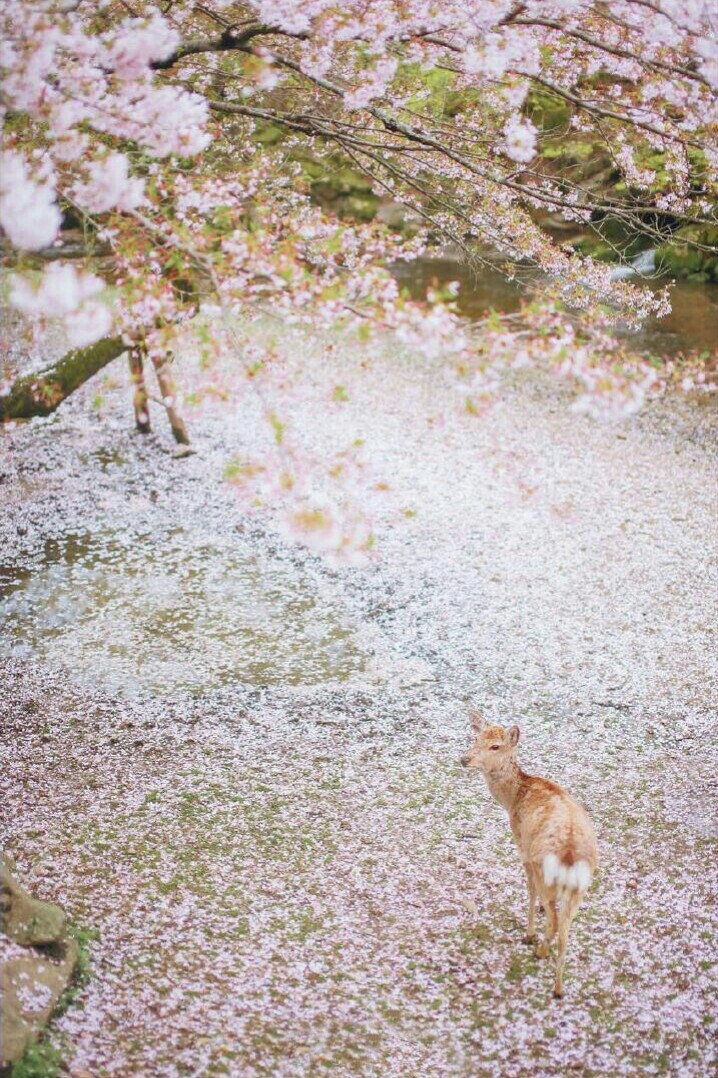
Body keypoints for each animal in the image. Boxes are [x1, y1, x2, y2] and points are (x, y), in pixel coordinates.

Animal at [461, 707, 595, 1000]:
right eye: (475, 737)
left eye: (495, 745)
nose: (464, 758)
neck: (513, 798)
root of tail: (570, 858)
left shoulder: (521, 846)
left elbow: (529, 890)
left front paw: (529, 933)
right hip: (580, 889)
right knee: (565, 930)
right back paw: (558, 988)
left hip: (545, 871)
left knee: (555, 921)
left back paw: (539, 950)